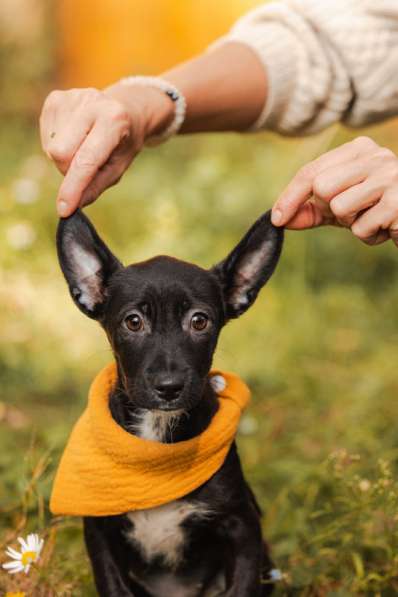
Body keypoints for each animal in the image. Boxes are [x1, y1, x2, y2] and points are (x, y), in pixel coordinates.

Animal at [57, 207, 284, 592]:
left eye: (200, 321)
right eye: (133, 322)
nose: (169, 386)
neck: (157, 438)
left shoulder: (244, 527)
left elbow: (241, 586)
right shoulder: (99, 533)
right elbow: (114, 586)